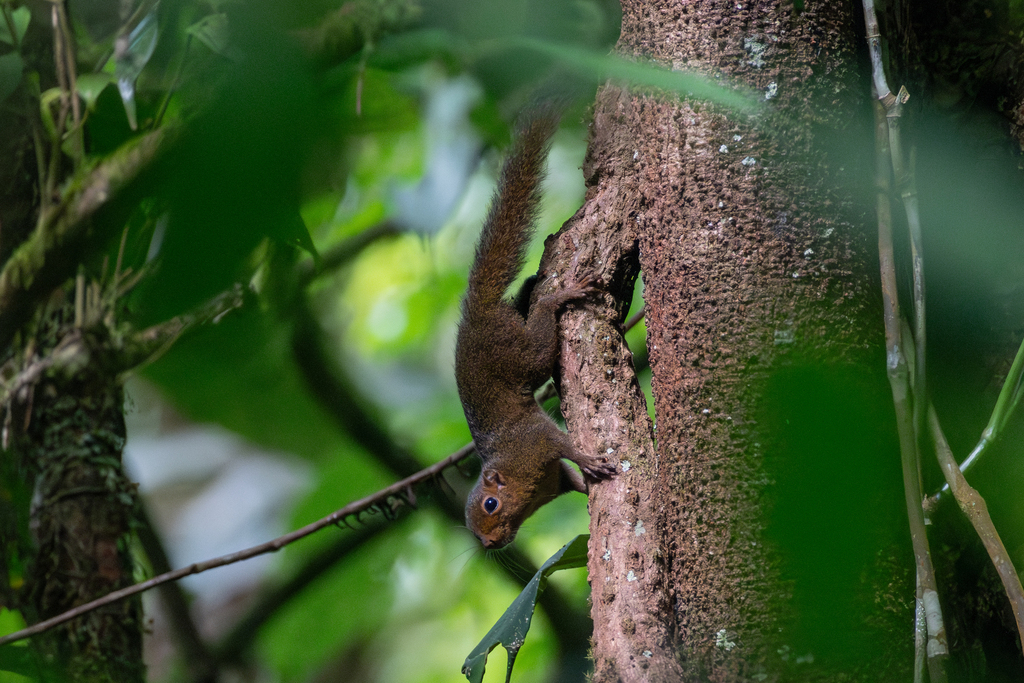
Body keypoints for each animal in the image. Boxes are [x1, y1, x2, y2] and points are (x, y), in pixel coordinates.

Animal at [454, 105, 614, 548]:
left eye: (491, 505)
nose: (490, 544)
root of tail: (476, 311)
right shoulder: (553, 479)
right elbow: (573, 481)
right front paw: (587, 482)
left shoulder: (536, 442)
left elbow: (564, 446)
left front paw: (589, 458)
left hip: (520, 352)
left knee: (541, 328)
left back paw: (553, 298)